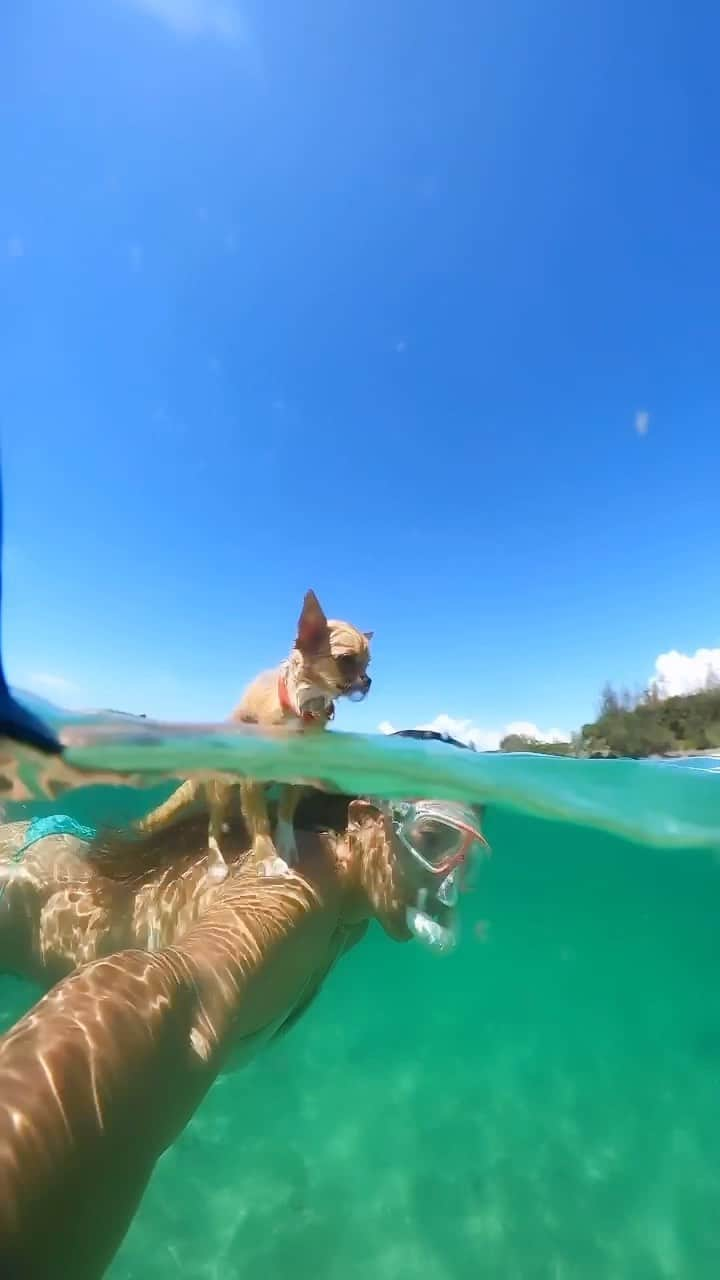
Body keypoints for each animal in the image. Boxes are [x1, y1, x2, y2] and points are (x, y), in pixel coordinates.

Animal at [131, 588, 371, 880]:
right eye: (346, 660)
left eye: (368, 664)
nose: (368, 681)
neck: (300, 704)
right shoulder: (251, 781)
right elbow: (259, 823)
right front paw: (268, 857)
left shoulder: (293, 778)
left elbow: (285, 812)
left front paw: (286, 843)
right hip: (222, 789)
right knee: (212, 827)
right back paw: (216, 862)